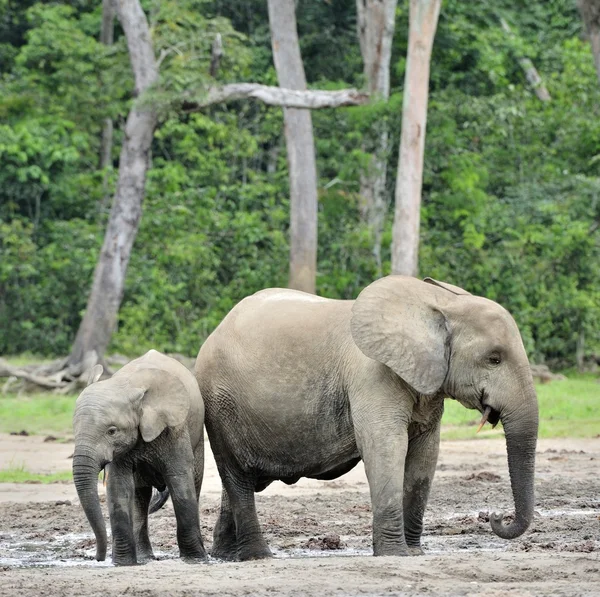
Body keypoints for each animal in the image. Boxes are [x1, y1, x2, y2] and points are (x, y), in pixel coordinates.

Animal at [71, 352, 204, 564]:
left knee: (194, 482)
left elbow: (180, 480)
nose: (98, 558)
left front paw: (196, 560)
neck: (128, 385)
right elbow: (118, 487)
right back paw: (144, 557)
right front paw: (122, 563)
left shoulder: (175, 429)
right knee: (140, 495)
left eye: (112, 431)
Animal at [197, 274, 540, 560]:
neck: (439, 304)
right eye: (494, 358)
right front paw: (396, 555)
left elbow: (424, 458)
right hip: (220, 404)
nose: (495, 516)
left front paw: (414, 553)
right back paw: (258, 556)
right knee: (238, 477)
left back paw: (226, 555)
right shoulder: (372, 374)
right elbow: (385, 447)